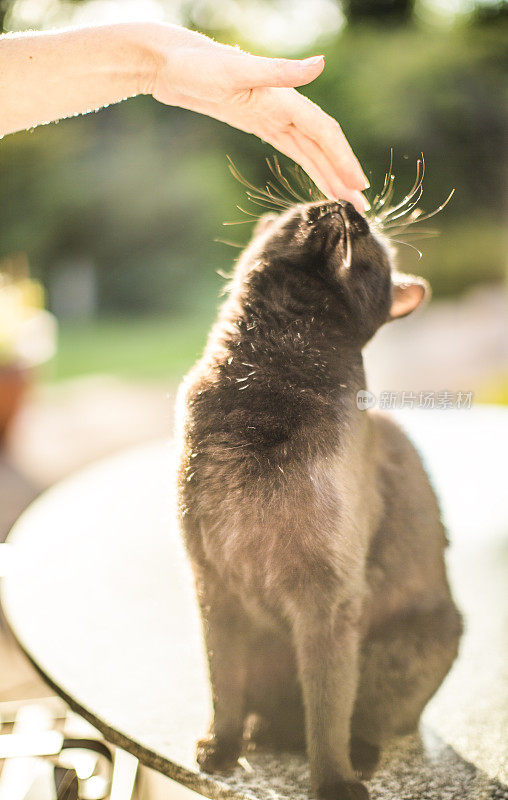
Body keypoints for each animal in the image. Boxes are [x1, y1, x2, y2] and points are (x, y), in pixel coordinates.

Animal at [176, 195, 464, 800]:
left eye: (373, 245)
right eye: (304, 205)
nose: (348, 207)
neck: (263, 384)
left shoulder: (327, 601)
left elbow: (329, 710)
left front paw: (334, 782)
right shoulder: (213, 584)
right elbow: (223, 683)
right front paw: (221, 748)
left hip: (418, 640)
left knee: (369, 717)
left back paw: (356, 756)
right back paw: (258, 736)